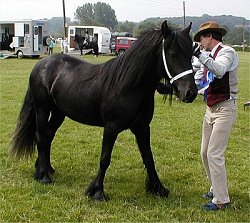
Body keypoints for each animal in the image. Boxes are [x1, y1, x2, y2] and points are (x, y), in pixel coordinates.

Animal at [9, 20, 197, 201]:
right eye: (172, 54)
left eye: (191, 54)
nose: (190, 93)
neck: (129, 85)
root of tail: (41, 64)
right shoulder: (111, 128)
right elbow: (105, 159)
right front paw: (97, 192)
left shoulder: (142, 128)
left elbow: (149, 158)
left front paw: (158, 188)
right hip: (42, 108)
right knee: (41, 137)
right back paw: (43, 176)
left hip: (58, 113)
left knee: (48, 136)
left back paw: (47, 168)